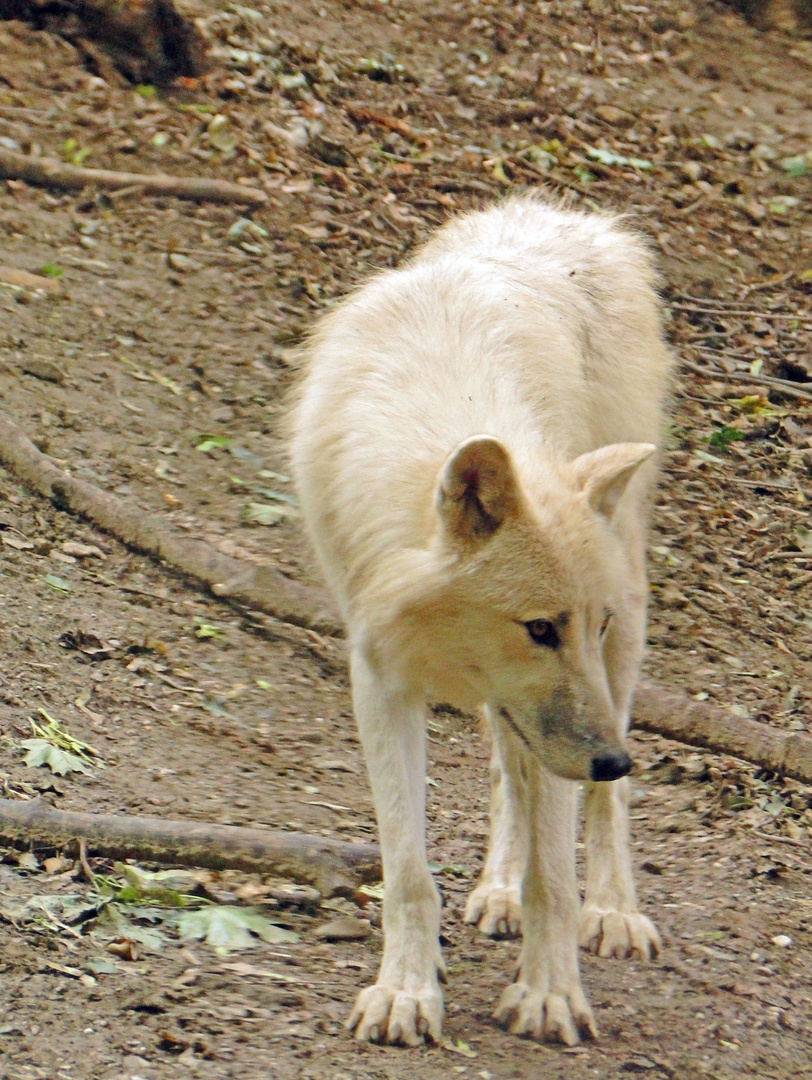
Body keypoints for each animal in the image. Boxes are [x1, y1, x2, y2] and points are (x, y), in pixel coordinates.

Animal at [289, 194, 673, 1045]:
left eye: (587, 625)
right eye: (540, 628)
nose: (613, 759)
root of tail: (560, 214)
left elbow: (555, 879)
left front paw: (550, 995)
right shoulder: (380, 679)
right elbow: (407, 870)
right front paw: (406, 993)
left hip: (624, 635)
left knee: (590, 809)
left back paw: (614, 910)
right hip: (524, 708)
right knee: (506, 770)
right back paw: (498, 888)